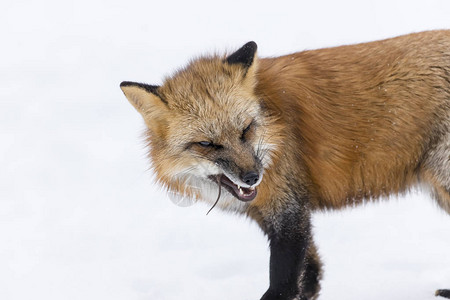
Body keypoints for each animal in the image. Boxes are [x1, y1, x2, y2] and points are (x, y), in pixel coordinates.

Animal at [120, 31, 450, 300]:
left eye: (246, 129)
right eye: (207, 144)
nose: (252, 177)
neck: (274, 126)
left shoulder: (288, 210)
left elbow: (283, 284)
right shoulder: (281, 213)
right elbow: (310, 275)